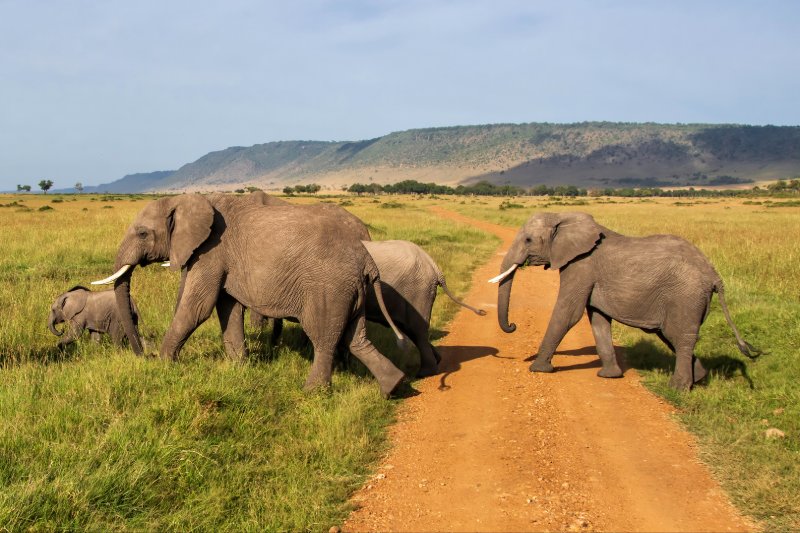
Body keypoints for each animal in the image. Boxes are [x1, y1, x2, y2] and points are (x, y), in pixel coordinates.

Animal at [93, 193, 406, 396]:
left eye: (142, 233)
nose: (142, 355)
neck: (187, 199)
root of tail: (366, 261)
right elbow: (227, 308)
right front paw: (238, 367)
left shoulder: (211, 250)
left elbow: (198, 307)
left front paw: (164, 364)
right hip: (350, 291)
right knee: (357, 337)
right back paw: (394, 387)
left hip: (328, 289)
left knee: (324, 336)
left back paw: (312, 392)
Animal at [490, 210, 760, 388]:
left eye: (528, 240)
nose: (513, 325)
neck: (563, 218)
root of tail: (714, 274)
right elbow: (598, 320)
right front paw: (609, 376)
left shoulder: (581, 265)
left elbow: (569, 313)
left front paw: (538, 369)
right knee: (673, 336)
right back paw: (700, 379)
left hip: (686, 295)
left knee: (681, 337)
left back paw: (678, 388)